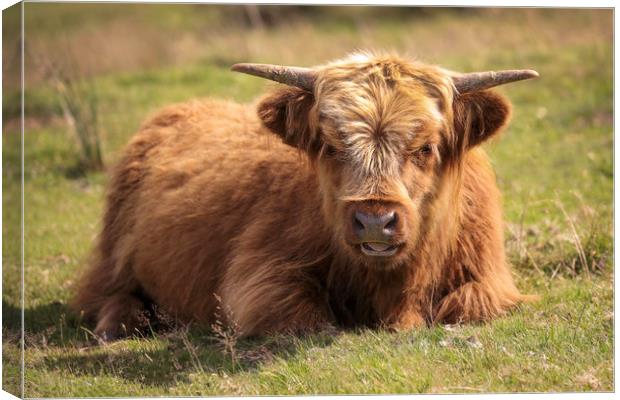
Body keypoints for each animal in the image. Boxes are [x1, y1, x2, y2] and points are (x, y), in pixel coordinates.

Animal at [71, 51, 536, 340]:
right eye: (330, 146)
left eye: (425, 148)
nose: (374, 220)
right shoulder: (257, 279)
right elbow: (306, 316)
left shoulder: (490, 278)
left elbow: (468, 305)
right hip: (113, 254)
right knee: (106, 292)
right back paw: (116, 325)